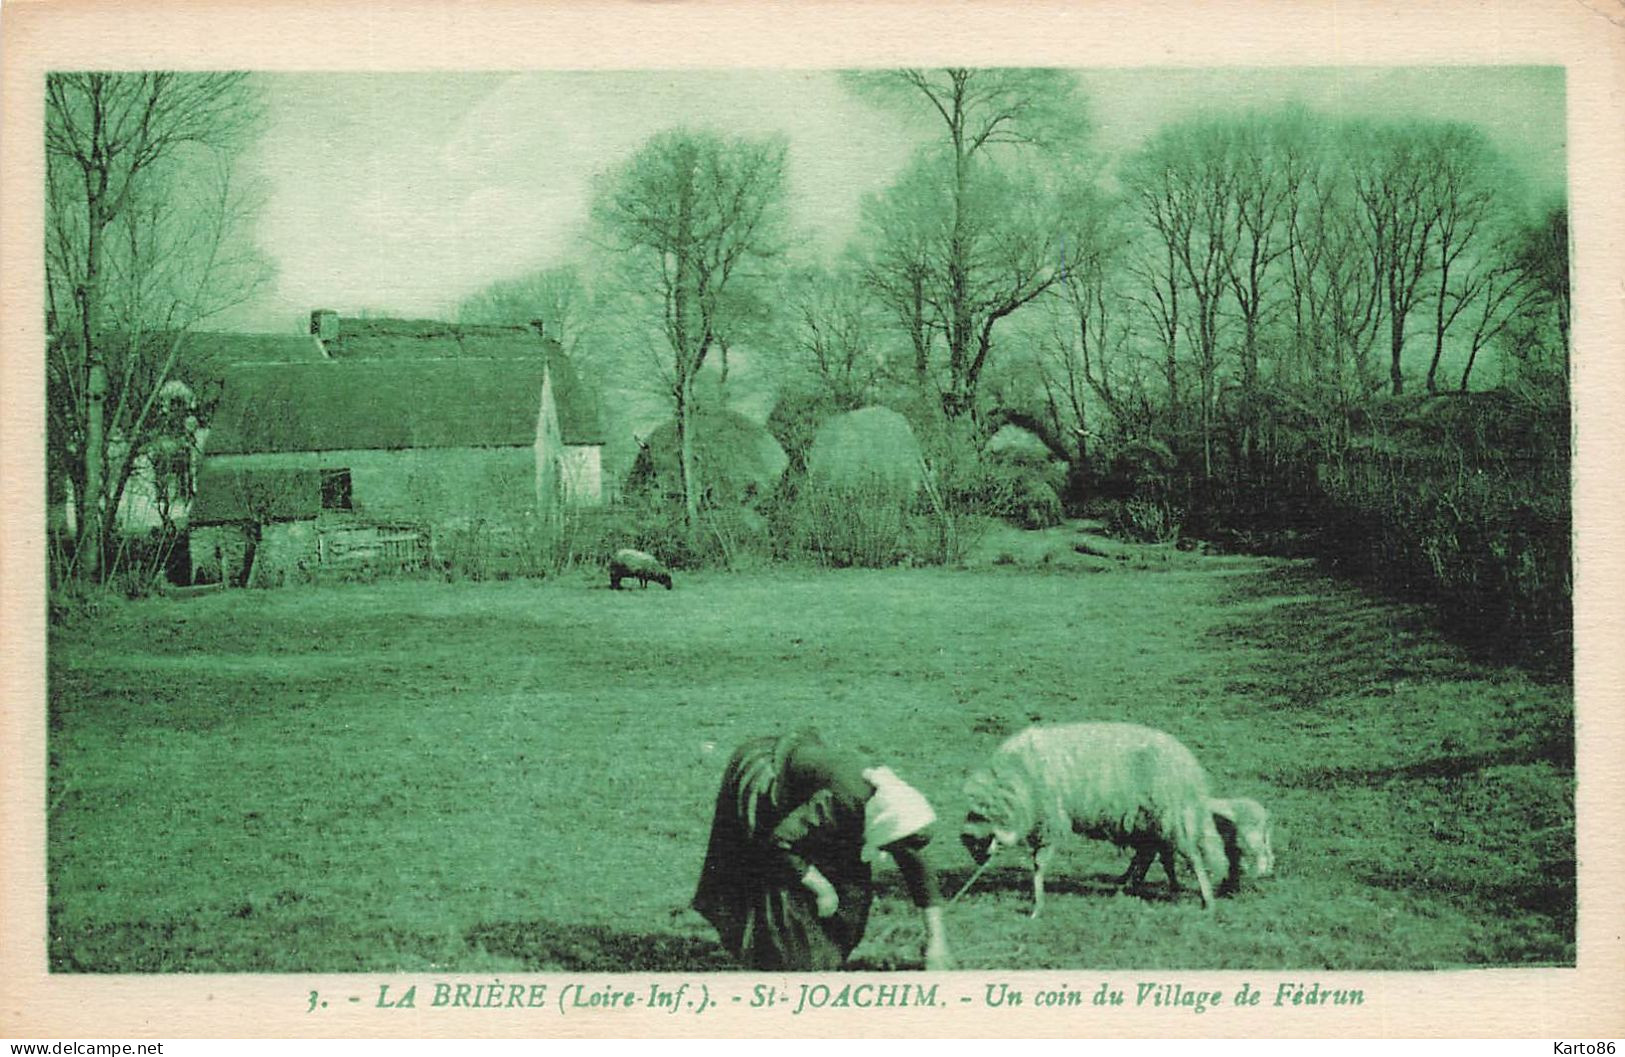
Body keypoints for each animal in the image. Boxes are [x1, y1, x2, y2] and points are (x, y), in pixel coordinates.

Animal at [949, 718, 1228, 910]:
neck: (1015, 779)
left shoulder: (1050, 819)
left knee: (1189, 856)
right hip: (1150, 819)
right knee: (1157, 854)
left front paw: (1037, 905)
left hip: (1171, 814)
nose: (979, 865)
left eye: (979, 845)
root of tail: (1189, 766)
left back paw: (1205, 900)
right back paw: (1149, 887)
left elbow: (1039, 863)